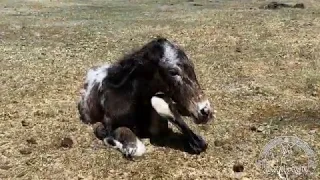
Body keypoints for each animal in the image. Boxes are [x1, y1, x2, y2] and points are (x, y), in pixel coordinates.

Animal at [77, 37, 215, 158]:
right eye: (173, 72)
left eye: (192, 66)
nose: (205, 111)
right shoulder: (109, 124)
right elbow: (135, 146)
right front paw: (113, 142)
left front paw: (196, 142)